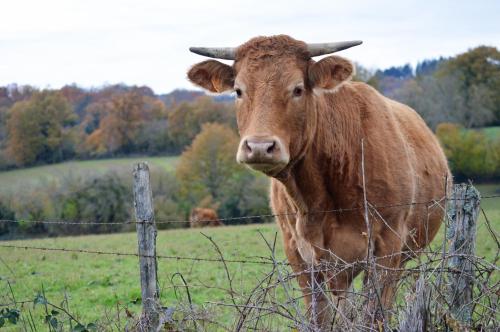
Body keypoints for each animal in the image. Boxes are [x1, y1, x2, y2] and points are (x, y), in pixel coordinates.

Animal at [186, 35, 452, 326]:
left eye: (298, 89)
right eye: (238, 91)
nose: (259, 147)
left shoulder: (388, 246)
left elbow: (373, 315)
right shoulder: (300, 254)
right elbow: (320, 316)